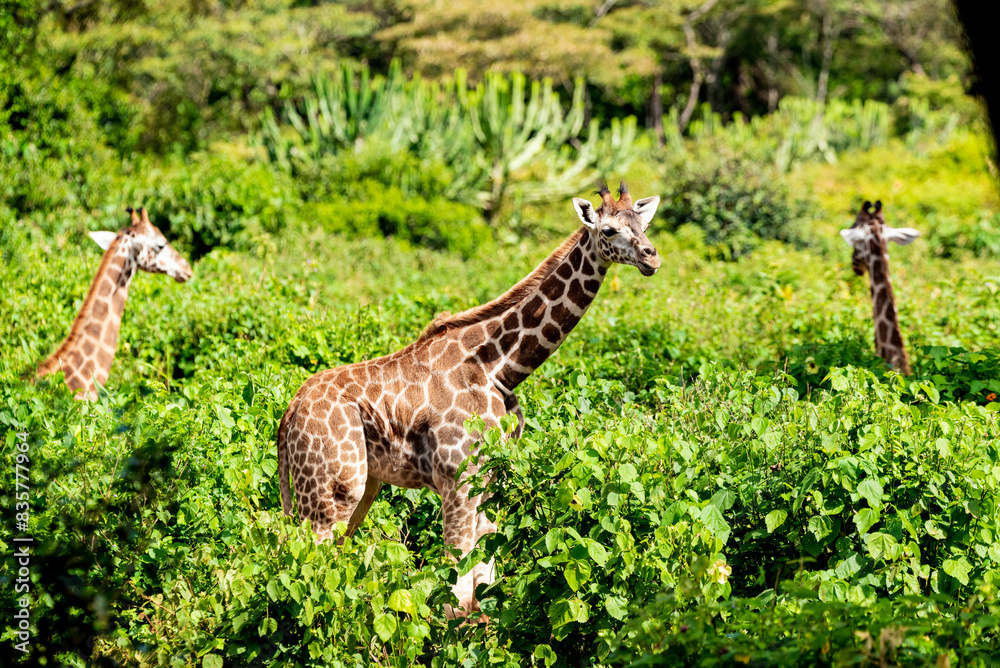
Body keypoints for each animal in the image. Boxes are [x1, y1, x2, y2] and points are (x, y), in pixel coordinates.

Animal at [278, 182, 661, 618]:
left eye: (644, 225)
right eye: (609, 230)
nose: (652, 257)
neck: (501, 368)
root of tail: (288, 414)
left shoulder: (493, 482)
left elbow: (483, 585)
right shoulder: (456, 479)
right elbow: (457, 593)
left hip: (359, 488)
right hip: (331, 491)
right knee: (307, 565)